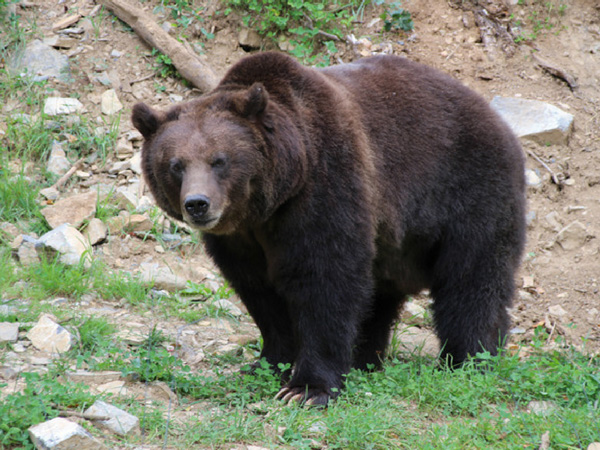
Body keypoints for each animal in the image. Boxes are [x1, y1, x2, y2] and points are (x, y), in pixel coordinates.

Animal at [131, 51, 524, 406]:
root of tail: (495, 116)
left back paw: (470, 359)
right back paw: (365, 359)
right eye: (176, 165)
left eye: (219, 160)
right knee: (379, 296)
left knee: (472, 280)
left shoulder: (326, 186)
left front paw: (306, 388)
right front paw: (268, 363)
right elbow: (260, 292)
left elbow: (326, 280)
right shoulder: (240, 240)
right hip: (394, 244)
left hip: (470, 191)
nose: (198, 204)